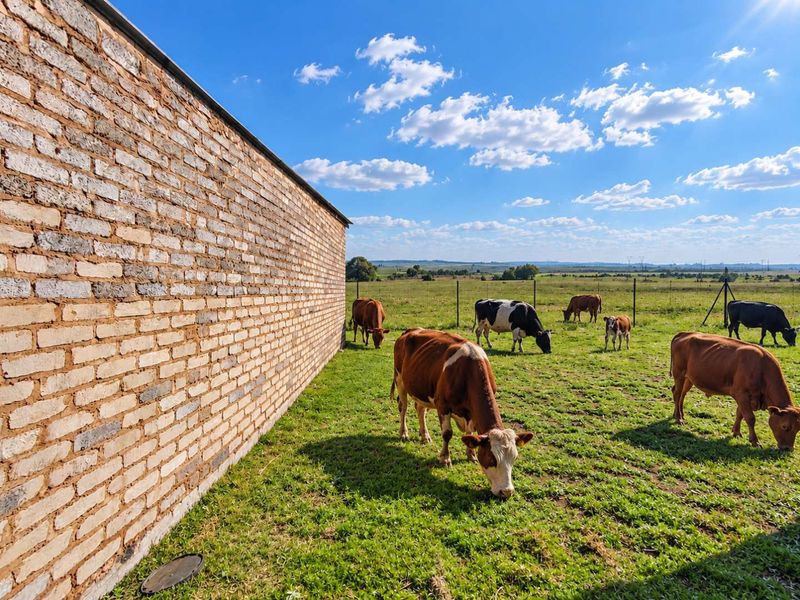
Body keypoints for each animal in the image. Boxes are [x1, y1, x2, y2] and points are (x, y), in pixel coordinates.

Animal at [391, 328, 534, 497]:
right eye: (492, 459)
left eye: (514, 458)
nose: (506, 491)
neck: (468, 372)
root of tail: (411, 330)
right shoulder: (442, 405)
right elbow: (447, 434)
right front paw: (445, 458)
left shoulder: (470, 412)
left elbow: (470, 432)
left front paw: (471, 455)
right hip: (400, 379)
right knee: (403, 407)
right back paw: (403, 433)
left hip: (421, 389)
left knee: (420, 410)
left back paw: (425, 436)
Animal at [670, 332, 800, 450]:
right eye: (785, 426)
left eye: (798, 429)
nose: (788, 448)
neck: (761, 368)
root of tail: (684, 333)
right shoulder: (741, 394)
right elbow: (750, 418)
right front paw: (755, 441)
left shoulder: (745, 397)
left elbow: (739, 414)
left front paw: (736, 432)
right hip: (679, 373)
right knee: (677, 393)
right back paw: (678, 418)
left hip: (689, 378)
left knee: (682, 394)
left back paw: (679, 414)